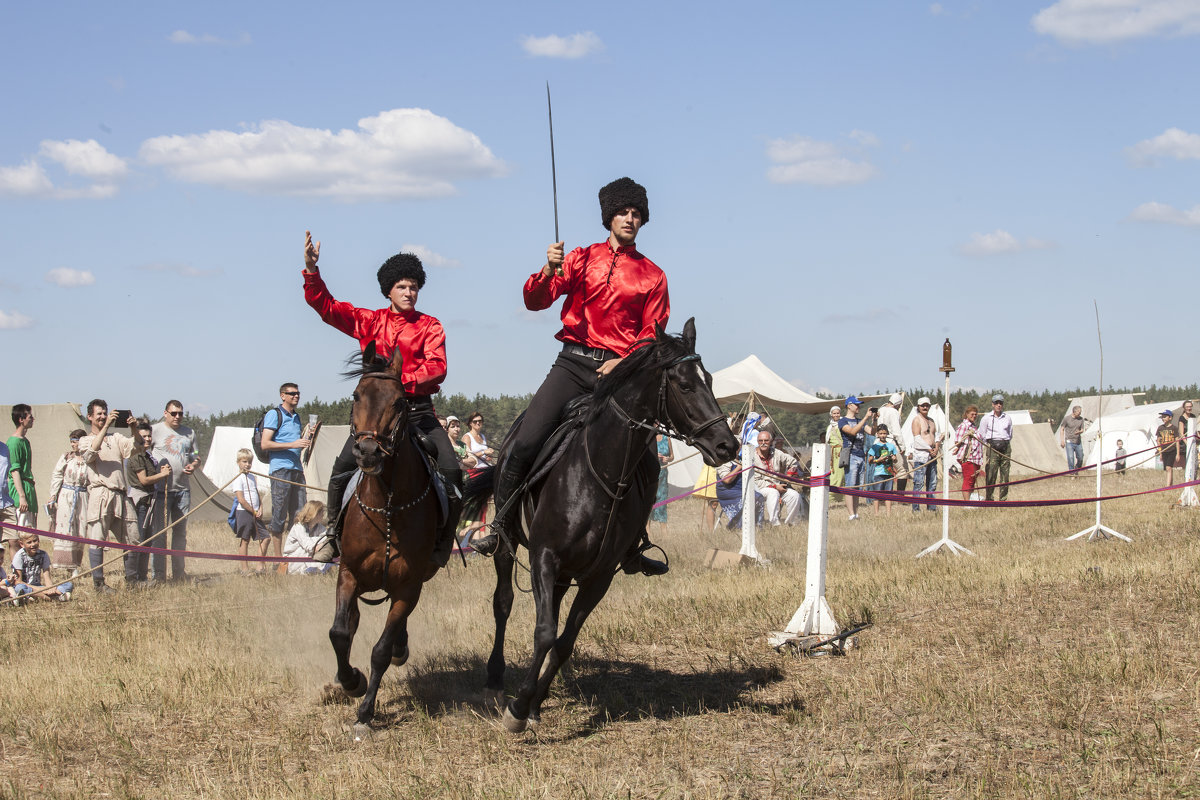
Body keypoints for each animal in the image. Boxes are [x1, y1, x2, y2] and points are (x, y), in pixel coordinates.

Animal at [328, 340, 441, 729]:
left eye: (399, 402)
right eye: (356, 395)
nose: (367, 451)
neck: (388, 508)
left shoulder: (408, 587)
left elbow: (380, 650)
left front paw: (365, 710)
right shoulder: (348, 574)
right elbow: (339, 632)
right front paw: (351, 682)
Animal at [470, 319, 734, 734]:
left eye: (708, 379)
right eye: (684, 385)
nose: (727, 446)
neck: (597, 472)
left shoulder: (599, 576)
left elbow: (564, 640)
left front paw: (534, 702)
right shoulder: (544, 558)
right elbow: (544, 632)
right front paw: (518, 708)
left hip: (568, 572)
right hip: (509, 545)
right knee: (504, 603)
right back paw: (494, 680)